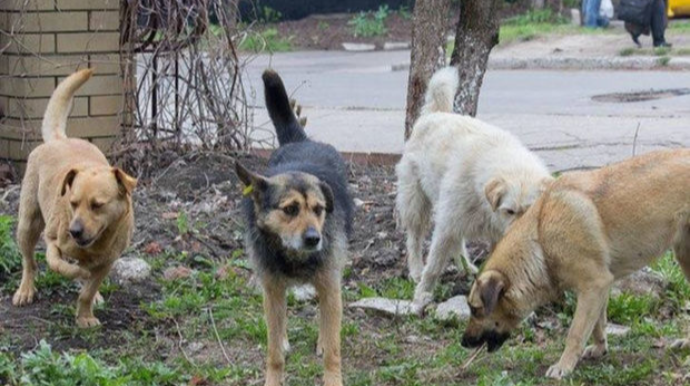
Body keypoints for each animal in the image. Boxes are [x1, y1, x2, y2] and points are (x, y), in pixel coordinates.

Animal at [13, 68, 136, 328]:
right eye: (73, 203)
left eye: (97, 205)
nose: (74, 231)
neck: (95, 244)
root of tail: (60, 139)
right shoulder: (52, 241)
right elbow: (59, 264)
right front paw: (76, 273)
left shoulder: (107, 261)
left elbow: (88, 290)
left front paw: (85, 315)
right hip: (28, 223)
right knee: (29, 262)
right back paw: (26, 289)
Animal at [236, 69, 354, 386]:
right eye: (290, 209)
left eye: (319, 209)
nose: (314, 238)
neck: (293, 256)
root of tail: (302, 140)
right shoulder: (272, 288)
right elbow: (273, 351)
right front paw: (273, 378)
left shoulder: (329, 284)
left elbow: (333, 350)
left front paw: (332, 375)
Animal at [396, 66, 552, 314]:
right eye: (509, 211)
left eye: (530, 211)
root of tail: (435, 113)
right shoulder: (447, 224)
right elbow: (434, 265)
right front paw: (421, 296)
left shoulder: (494, 234)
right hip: (417, 202)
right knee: (415, 237)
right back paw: (415, 270)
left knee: (457, 242)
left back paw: (466, 267)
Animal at [456, 149, 688, 380]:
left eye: (475, 309)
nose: (463, 342)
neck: (541, 238)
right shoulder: (597, 289)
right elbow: (597, 325)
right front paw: (599, 348)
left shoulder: (594, 285)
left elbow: (575, 332)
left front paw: (564, 365)